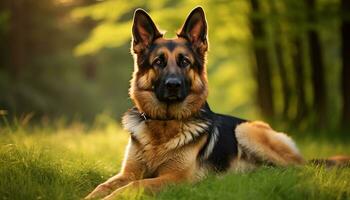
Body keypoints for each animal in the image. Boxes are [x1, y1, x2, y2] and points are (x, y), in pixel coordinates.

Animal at [85, 6, 350, 200]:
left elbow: (134, 186)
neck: (165, 125)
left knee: (298, 170)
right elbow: (102, 186)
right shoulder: (127, 172)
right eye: (158, 62)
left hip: (247, 130)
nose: (173, 85)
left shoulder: (176, 179)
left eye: (184, 62)